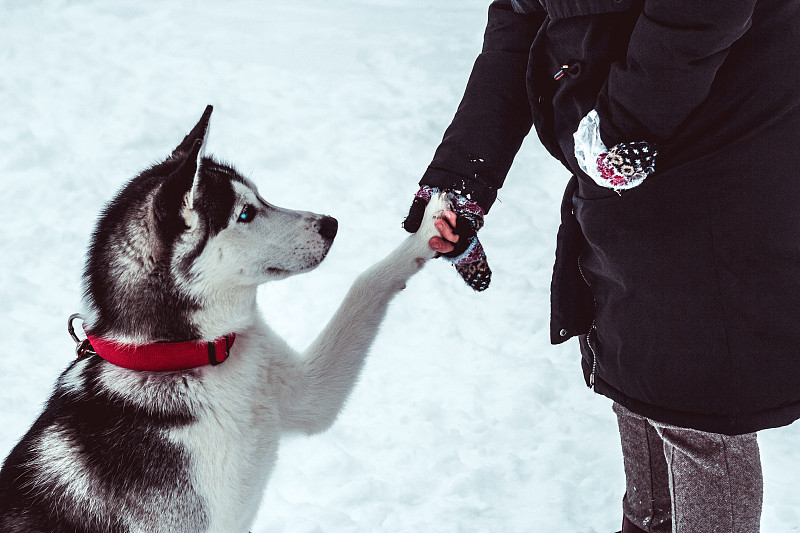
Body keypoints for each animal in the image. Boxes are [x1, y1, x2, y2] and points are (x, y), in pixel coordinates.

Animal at [0, 106, 450, 528]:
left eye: (261, 197)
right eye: (245, 214)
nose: (331, 224)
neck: (187, 354)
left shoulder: (307, 392)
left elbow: (366, 282)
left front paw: (429, 230)